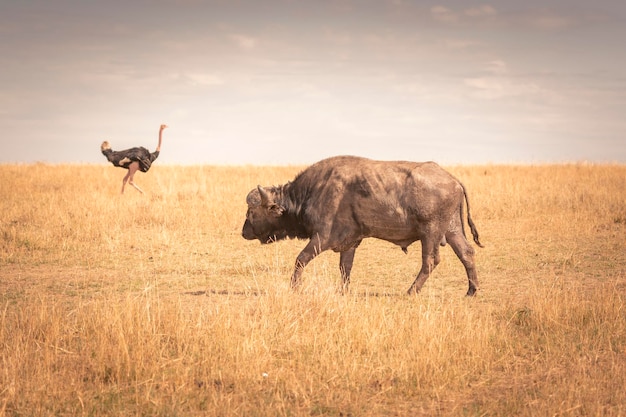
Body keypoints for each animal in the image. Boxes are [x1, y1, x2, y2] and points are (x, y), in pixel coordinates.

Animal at [240, 154, 482, 294]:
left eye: (252, 211)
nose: (244, 232)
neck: (313, 191)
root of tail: (453, 180)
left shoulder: (321, 238)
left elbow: (300, 260)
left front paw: (294, 288)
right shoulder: (350, 242)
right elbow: (345, 268)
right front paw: (343, 292)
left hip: (430, 233)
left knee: (430, 261)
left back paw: (411, 291)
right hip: (452, 230)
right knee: (466, 253)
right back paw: (471, 290)